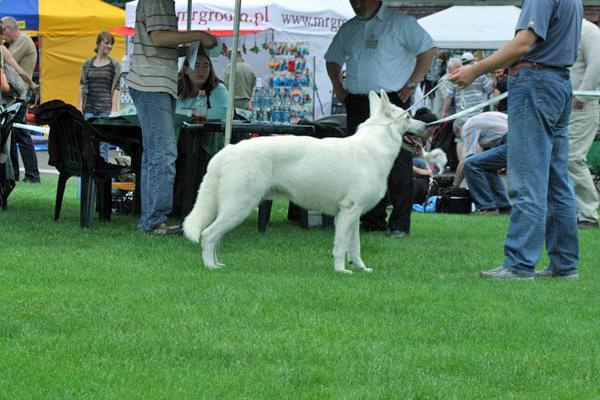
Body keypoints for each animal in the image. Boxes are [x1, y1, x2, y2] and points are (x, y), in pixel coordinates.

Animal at [183, 90, 426, 272]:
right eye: (407, 117)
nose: (426, 126)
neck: (375, 144)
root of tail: (226, 152)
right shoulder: (348, 212)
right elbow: (340, 247)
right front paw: (341, 271)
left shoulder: (354, 216)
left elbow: (354, 248)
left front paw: (361, 269)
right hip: (238, 208)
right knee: (207, 235)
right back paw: (210, 267)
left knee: (214, 237)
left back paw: (217, 264)